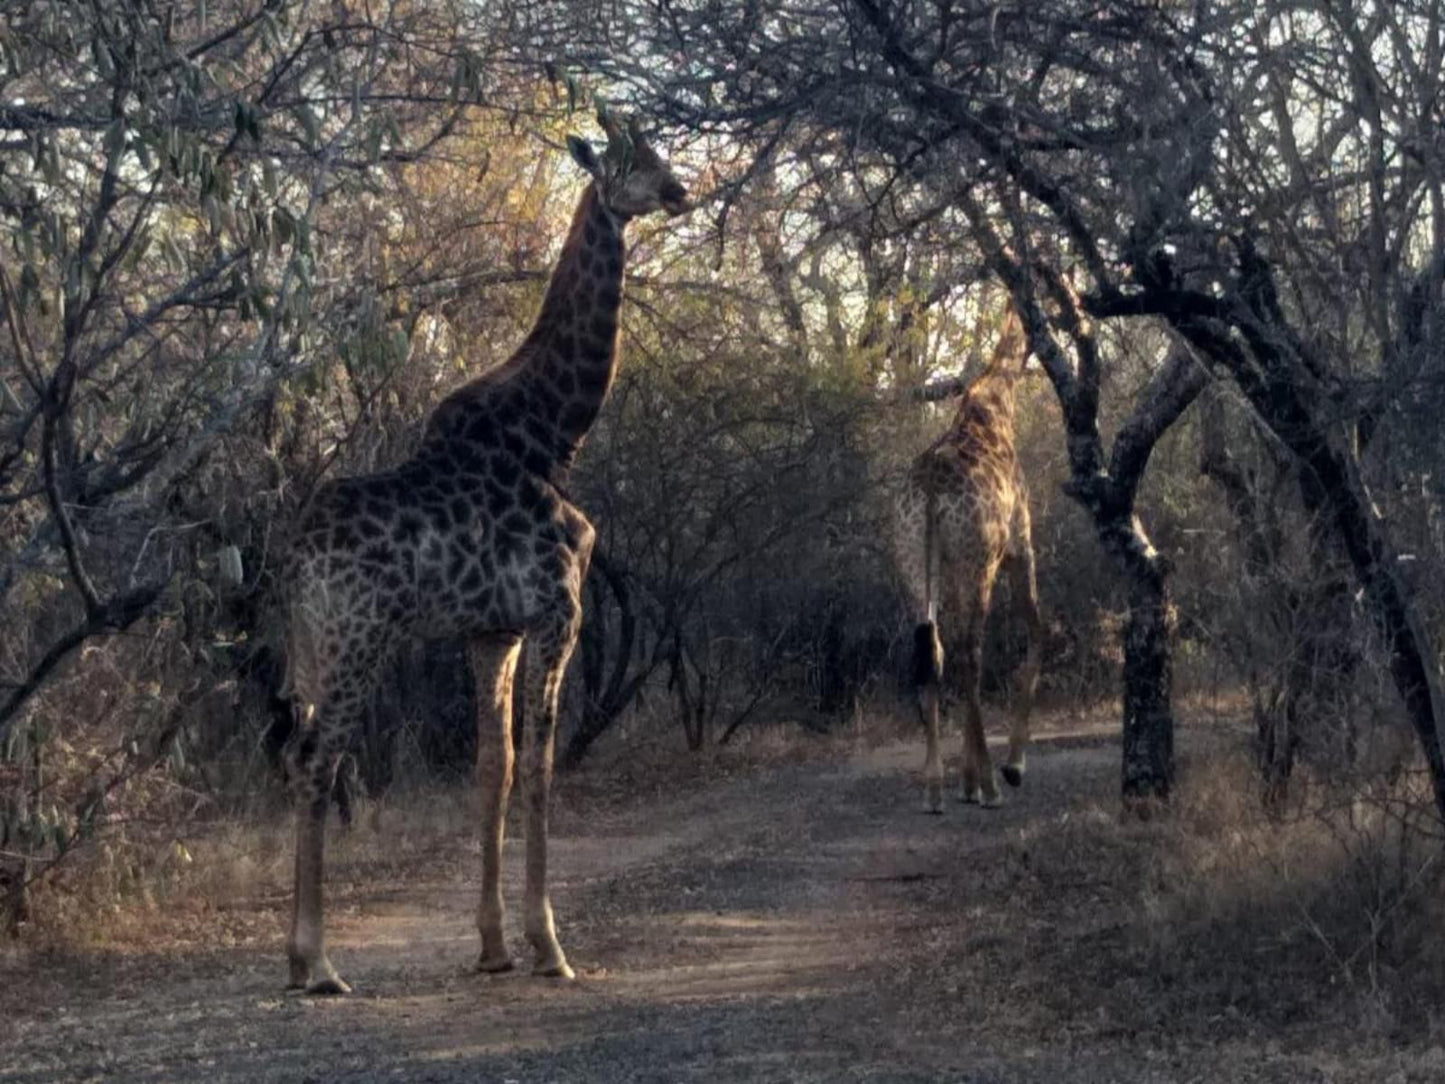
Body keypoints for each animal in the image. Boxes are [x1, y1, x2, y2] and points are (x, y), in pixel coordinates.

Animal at [283, 114, 693, 1000]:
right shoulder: (556, 613)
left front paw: (494, 945)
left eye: (655, 152)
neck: (555, 431)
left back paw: (302, 959)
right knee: (316, 760)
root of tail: (295, 559)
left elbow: (491, 770)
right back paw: (317, 962)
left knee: (302, 755)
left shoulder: (489, 631)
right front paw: (549, 946)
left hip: (313, 649)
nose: (679, 190)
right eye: (629, 161)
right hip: (359, 641)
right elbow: (539, 767)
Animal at [890, 306, 1040, 815]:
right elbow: (1036, 634)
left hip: (915, 561)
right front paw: (1010, 768)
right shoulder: (1019, 548)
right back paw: (991, 785)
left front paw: (966, 780)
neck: (997, 405)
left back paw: (936, 786)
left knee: (934, 646)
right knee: (970, 651)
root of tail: (930, 492)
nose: (1077, 304)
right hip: (976, 564)